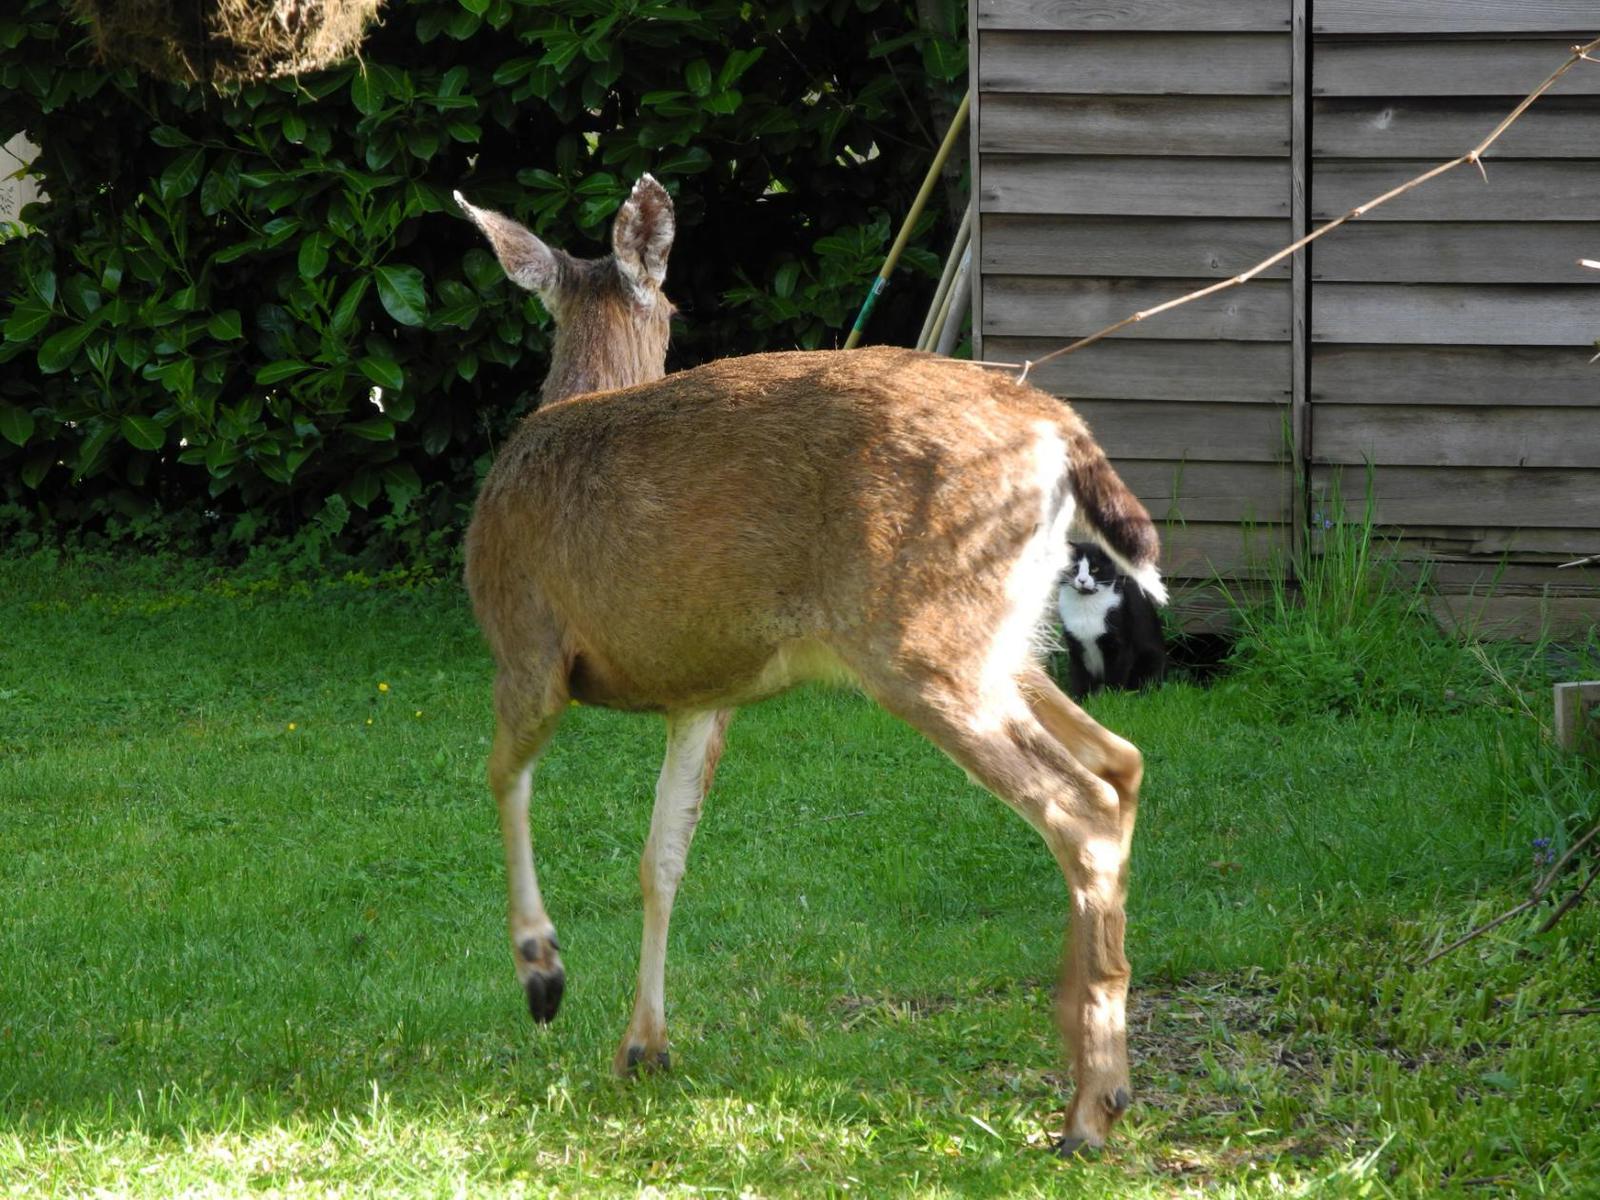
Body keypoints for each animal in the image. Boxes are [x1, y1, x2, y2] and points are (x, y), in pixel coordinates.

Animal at [1056, 544, 1171, 700]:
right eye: (1074, 568)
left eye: (1095, 568)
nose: (1082, 580)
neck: (1086, 605)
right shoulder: (1075, 647)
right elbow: (1079, 675)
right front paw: (1078, 700)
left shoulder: (1119, 645)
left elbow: (1115, 675)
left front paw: (1113, 699)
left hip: (1151, 658)